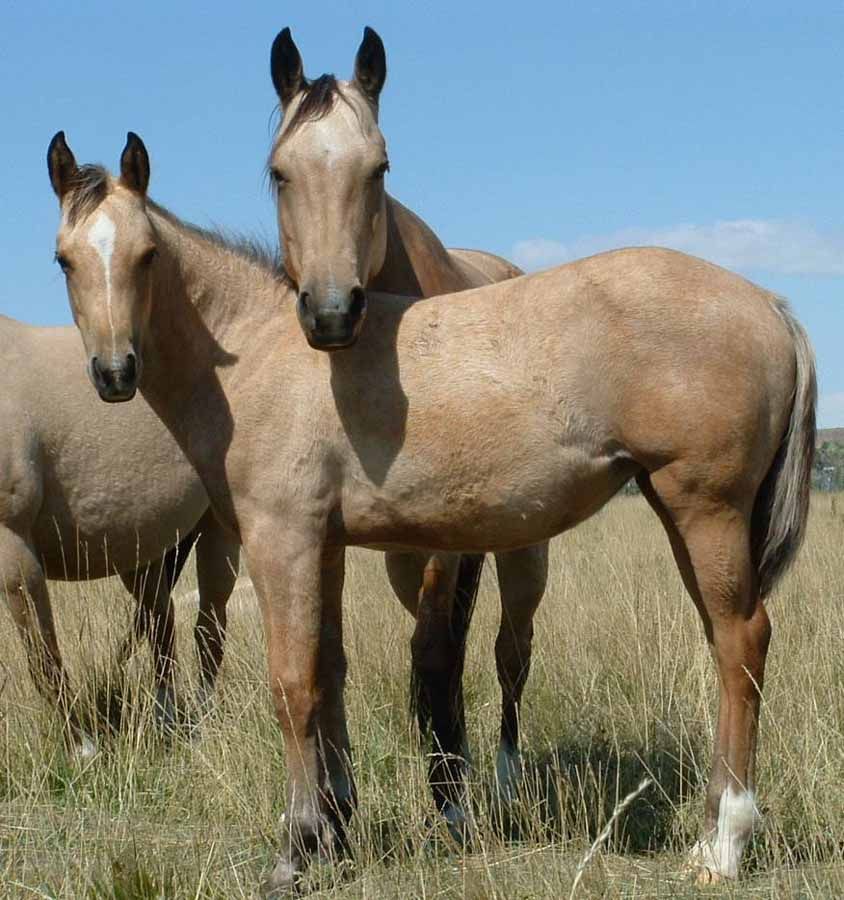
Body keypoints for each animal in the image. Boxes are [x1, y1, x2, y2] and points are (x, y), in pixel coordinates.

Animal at [0, 314, 239, 751]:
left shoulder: (14, 548)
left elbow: (44, 659)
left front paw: (81, 747)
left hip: (218, 531)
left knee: (208, 628)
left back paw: (200, 723)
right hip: (141, 551)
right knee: (163, 622)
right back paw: (166, 719)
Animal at [48, 133, 815, 891]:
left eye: (147, 254)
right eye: (65, 259)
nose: (113, 372)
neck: (260, 353)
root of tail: (767, 302)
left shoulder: (281, 540)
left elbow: (292, 686)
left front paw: (296, 848)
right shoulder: (326, 546)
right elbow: (329, 675)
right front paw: (335, 829)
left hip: (704, 507)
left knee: (741, 641)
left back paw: (724, 842)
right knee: (723, 643)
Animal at [268, 25, 549, 815]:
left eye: (380, 168)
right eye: (280, 173)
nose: (333, 311)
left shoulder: (442, 546)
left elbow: (434, 655)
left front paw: (449, 794)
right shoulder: (328, 534)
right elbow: (331, 656)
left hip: (521, 552)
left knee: (507, 653)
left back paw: (500, 776)